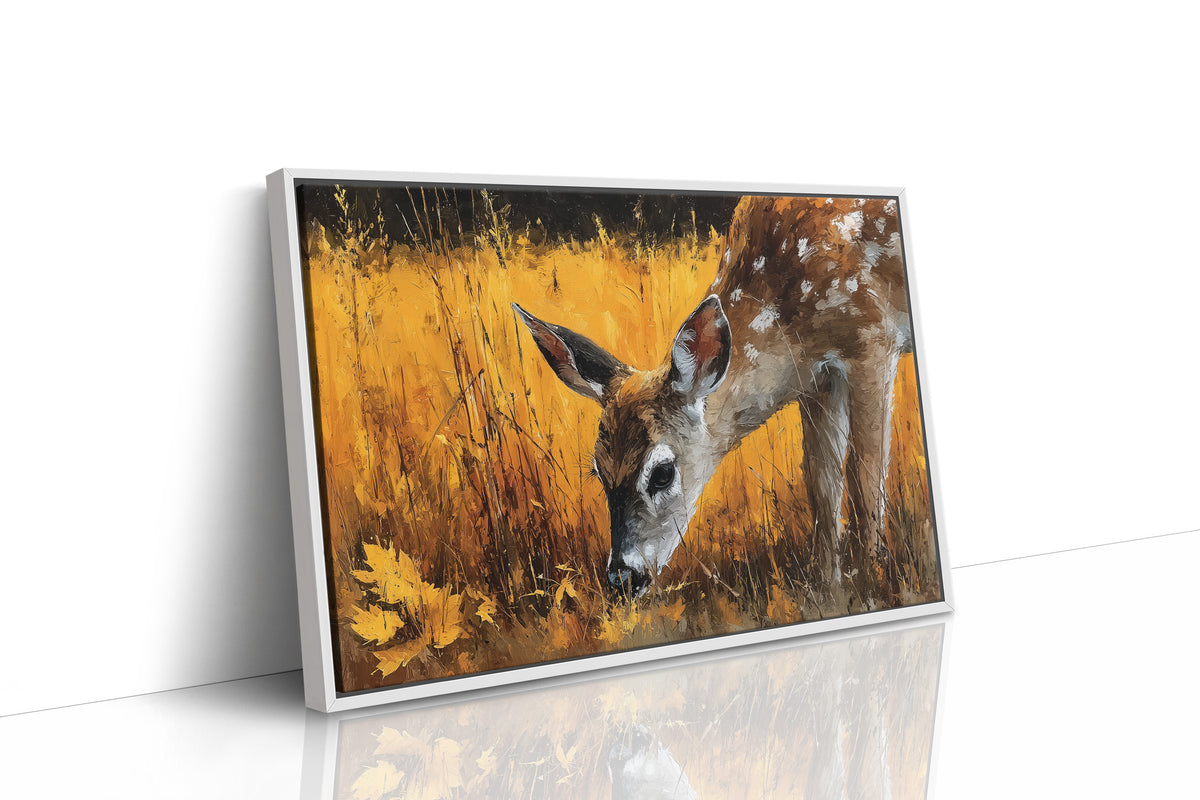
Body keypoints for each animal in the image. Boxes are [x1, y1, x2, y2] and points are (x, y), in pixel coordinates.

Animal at [514, 195, 913, 601]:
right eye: (598, 470)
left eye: (662, 473)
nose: (623, 578)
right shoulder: (819, 380)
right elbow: (823, 488)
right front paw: (827, 589)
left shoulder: (873, 338)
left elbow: (866, 482)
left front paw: (871, 584)